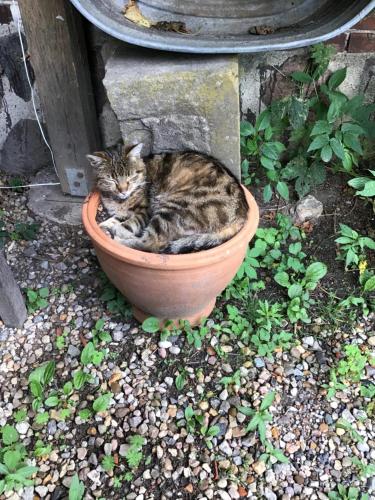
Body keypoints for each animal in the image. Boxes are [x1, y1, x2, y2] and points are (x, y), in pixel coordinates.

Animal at [86, 145, 248, 254]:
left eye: (131, 177)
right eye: (111, 180)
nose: (123, 190)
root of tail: (242, 213)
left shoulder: (145, 212)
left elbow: (128, 224)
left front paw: (115, 230)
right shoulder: (121, 212)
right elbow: (113, 219)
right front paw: (103, 226)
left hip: (174, 208)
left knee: (152, 244)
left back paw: (119, 240)